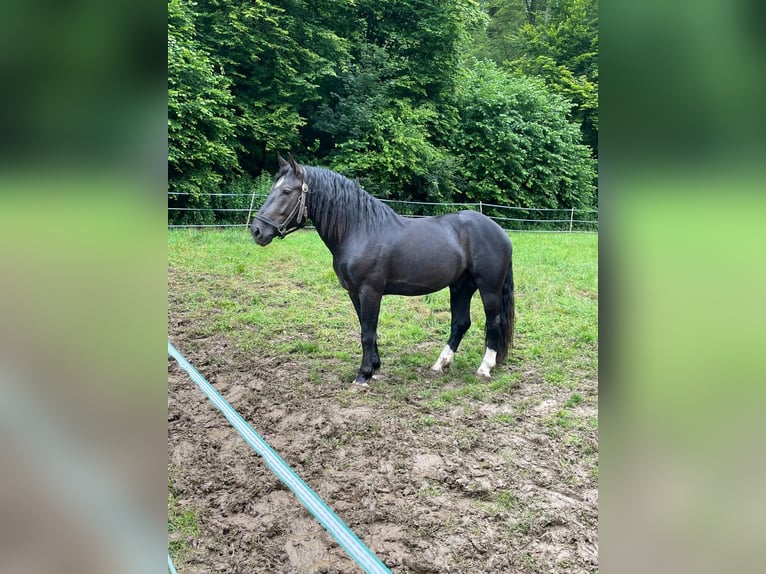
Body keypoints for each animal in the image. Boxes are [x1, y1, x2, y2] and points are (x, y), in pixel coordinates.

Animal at [254, 156, 516, 388]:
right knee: (460, 323)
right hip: (461, 286)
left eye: (287, 191)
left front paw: (363, 376)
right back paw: (440, 364)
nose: (257, 230)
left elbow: (368, 333)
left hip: (488, 288)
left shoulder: (370, 291)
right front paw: (374, 368)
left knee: (494, 322)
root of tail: (499, 231)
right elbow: (367, 329)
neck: (359, 230)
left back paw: (484, 368)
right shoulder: (354, 293)